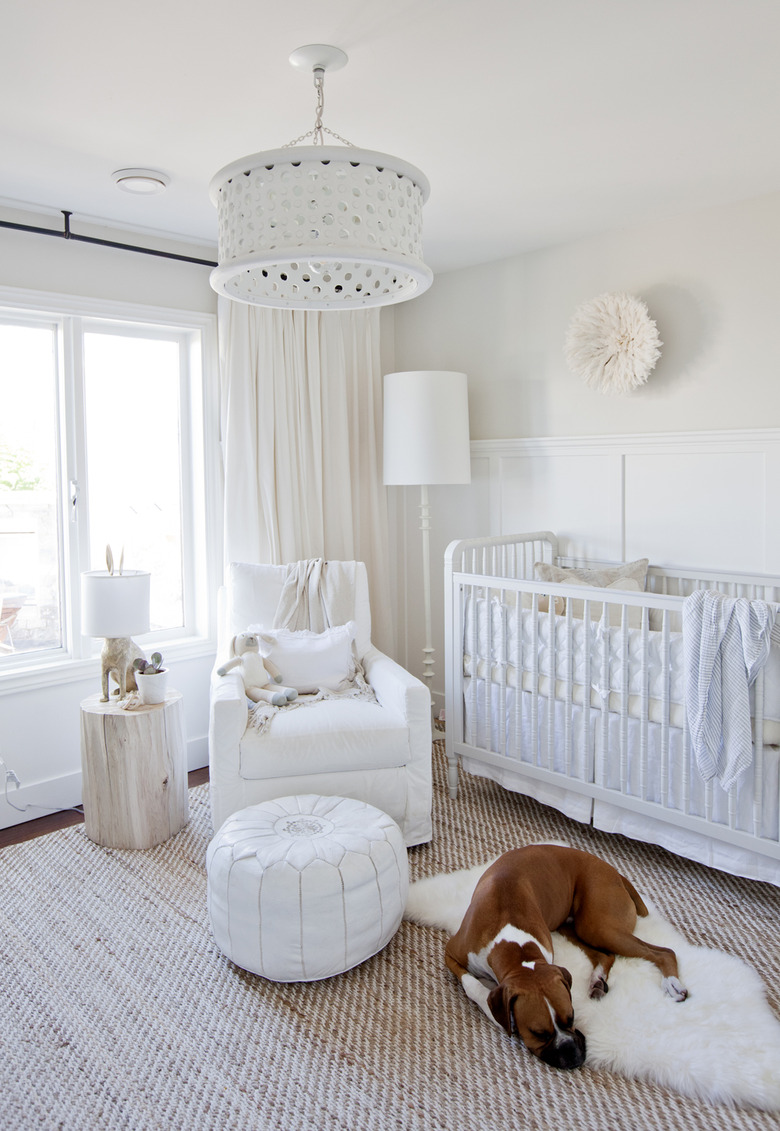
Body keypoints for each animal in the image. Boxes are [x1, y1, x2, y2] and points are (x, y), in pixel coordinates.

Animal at [443, 850, 687, 1067]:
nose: (569, 1051)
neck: (514, 947)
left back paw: (672, 984)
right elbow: (473, 986)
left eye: (571, 1018)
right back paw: (598, 980)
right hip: (577, 927)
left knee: (664, 952)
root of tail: (615, 872)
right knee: (608, 954)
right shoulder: (451, 954)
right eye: (538, 1033)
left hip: (598, 927)